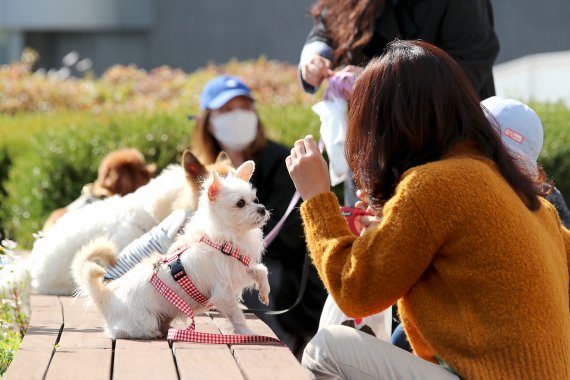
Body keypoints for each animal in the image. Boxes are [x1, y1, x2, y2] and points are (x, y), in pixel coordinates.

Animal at [71, 160, 270, 338]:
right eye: (240, 203)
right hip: (144, 321)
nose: (262, 209)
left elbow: (261, 270)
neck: (229, 239)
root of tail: (105, 296)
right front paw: (247, 333)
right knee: (124, 331)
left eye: (255, 200)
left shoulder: (241, 269)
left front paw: (264, 293)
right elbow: (237, 316)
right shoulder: (223, 294)